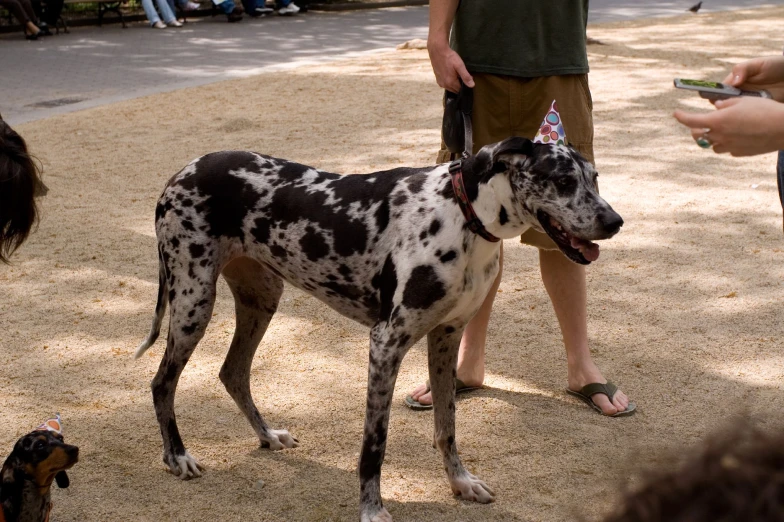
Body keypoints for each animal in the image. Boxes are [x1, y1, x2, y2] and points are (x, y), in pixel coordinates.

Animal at [136, 136, 624, 516]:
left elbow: (447, 426)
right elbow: (375, 444)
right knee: (162, 382)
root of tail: (184, 170)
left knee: (232, 372)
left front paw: (460, 483)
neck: (464, 215)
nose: (614, 222)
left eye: (595, 178)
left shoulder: (446, 338)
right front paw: (372, 510)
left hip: (261, 298)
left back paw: (266, 435)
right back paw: (177, 456)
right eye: (563, 181)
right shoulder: (386, 344)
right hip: (193, 302)